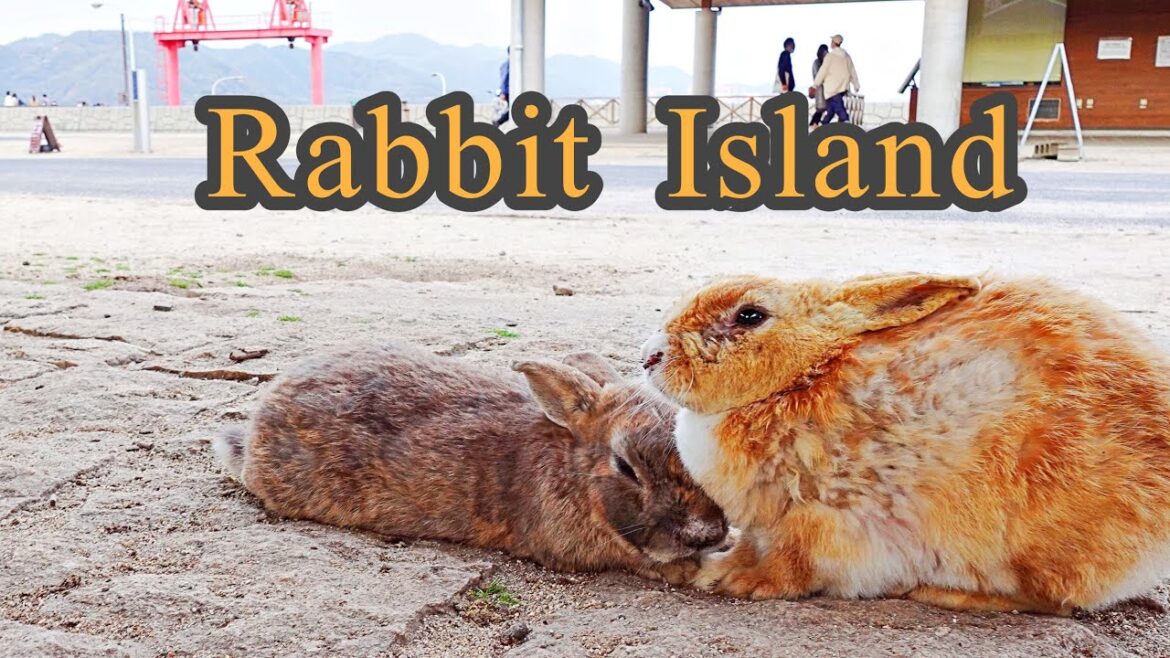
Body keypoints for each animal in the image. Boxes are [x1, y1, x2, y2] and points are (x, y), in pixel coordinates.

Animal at [640, 273, 1170, 614]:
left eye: (750, 315)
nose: (649, 357)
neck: (797, 378)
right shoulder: (764, 524)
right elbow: (751, 543)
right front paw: (719, 566)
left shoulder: (822, 518)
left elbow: (793, 566)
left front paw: (739, 582)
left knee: (1051, 602)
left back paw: (941, 594)